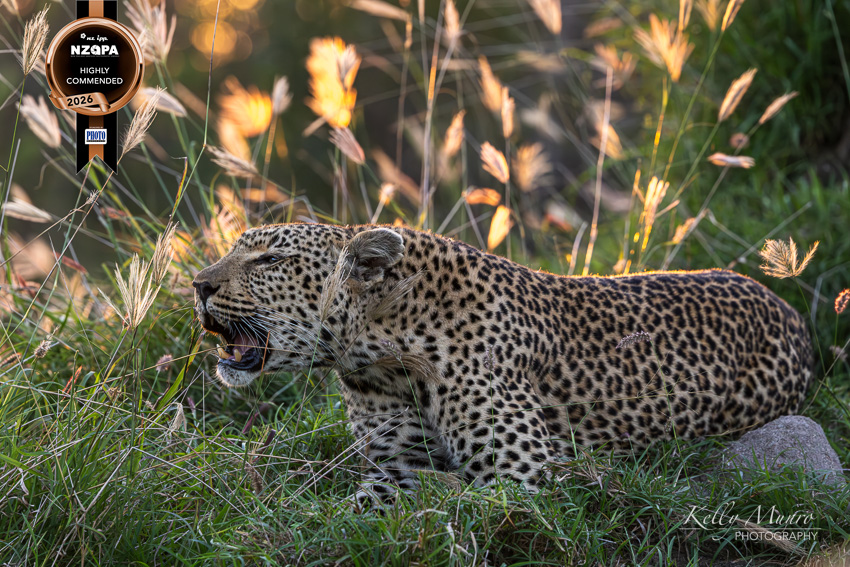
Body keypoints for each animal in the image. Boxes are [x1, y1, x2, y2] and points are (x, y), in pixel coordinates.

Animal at [193, 223, 812, 499]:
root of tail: (787, 304)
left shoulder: (525, 476)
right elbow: (363, 499)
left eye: (269, 259)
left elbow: (454, 491)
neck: (384, 351)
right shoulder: (392, 461)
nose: (198, 284)